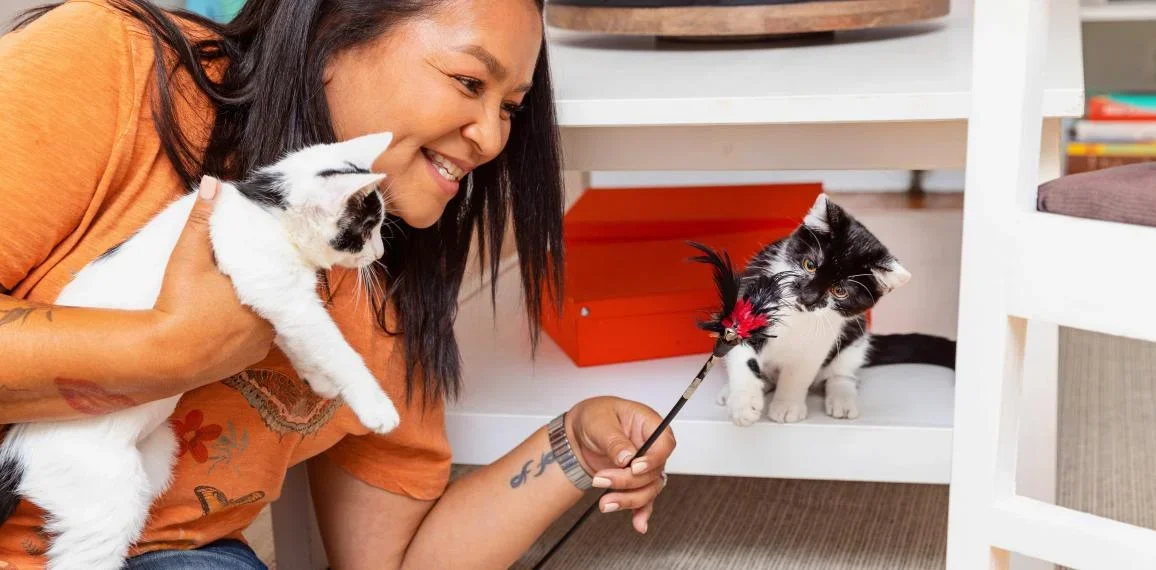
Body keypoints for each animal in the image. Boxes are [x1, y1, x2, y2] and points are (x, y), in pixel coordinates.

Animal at [0, 131, 402, 566]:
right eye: (367, 230)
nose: (380, 253)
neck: (263, 210)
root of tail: (17, 448)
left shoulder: (272, 299)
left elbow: (296, 338)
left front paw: (318, 378)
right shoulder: (278, 288)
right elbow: (333, 346)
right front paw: (375, 406)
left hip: (155, 460)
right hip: (105, 499)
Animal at [712, 194, 910, 423]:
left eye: (840, 291)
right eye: (810, 265)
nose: (807, 298)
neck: (796, 317)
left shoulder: (821, 341)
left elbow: (798, 373)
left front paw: (787, 406)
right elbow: (743, 356)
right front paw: (744, 403)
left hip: (856, 337)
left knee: (844, 372)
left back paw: (842, 397)